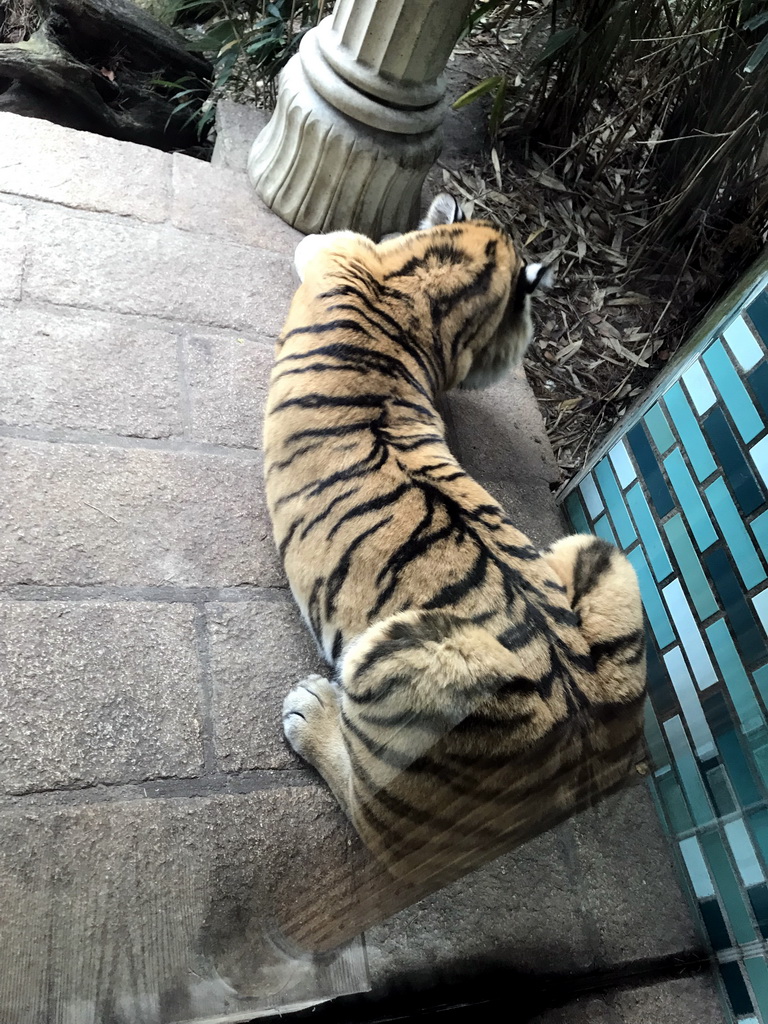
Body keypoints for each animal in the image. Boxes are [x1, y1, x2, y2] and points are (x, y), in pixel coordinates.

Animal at [264, 195, 651, 892]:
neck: (428, 284)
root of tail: (583, 758)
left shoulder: (337, 247)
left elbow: (312, 242)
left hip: (399, 655)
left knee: (380, 829)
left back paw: (310, 712)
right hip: (598, 553)